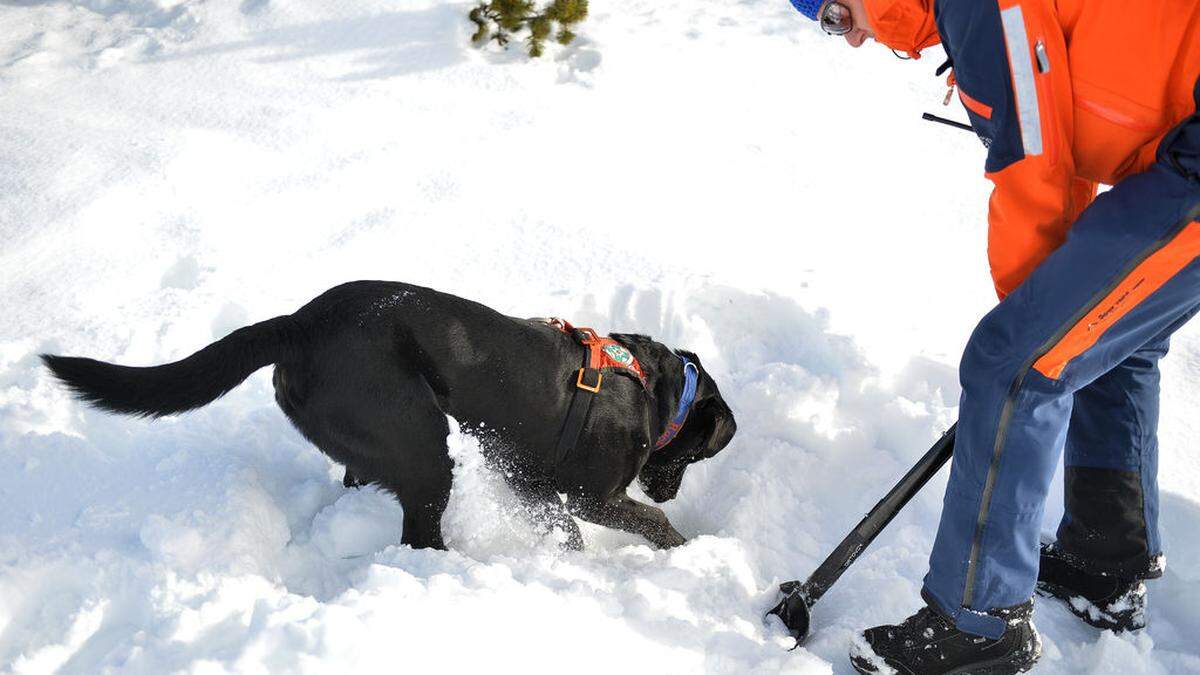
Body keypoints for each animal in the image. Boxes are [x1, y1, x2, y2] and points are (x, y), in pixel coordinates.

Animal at [42, 278, 734, 547]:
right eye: (699, 454)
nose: (672, 492)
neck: (658, 389)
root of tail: (297, 326)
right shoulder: (592, 496)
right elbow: (648, 526)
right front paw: (683, 547)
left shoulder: (533, 485)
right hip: (424, 447)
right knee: (421, 538)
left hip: (379, 442)